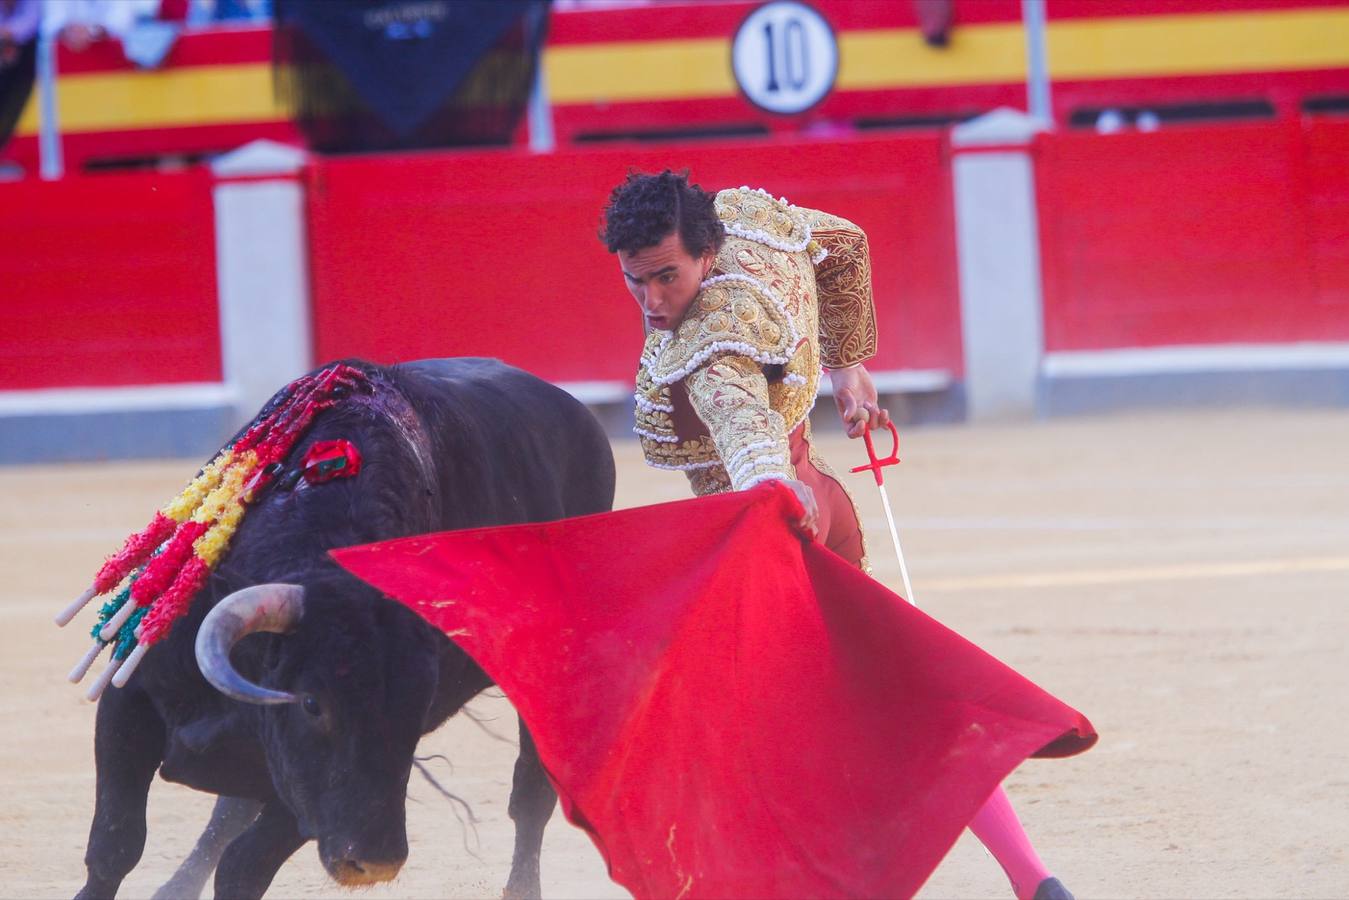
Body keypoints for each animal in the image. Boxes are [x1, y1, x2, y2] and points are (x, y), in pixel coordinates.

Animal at [76, 361, 615, 900]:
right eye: (313, 703)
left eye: (418, 712)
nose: (375, 862)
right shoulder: (129, 699)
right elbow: (116, 844)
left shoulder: (301, 789)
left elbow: (244, 864)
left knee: (532, 793)